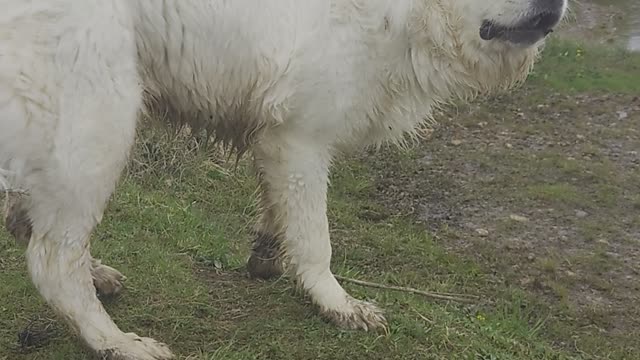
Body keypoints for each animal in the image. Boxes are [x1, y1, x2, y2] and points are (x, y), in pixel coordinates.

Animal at [0, 0, 568, 358]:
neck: (403, 14)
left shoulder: (276, 140)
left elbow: (281, 213)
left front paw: (269, 256)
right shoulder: (300, 138)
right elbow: (316, 238)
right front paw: (335, 302)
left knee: (33, 225)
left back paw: (96, 277)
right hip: (99, 123)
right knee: (53, 260)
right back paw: (114, 341)